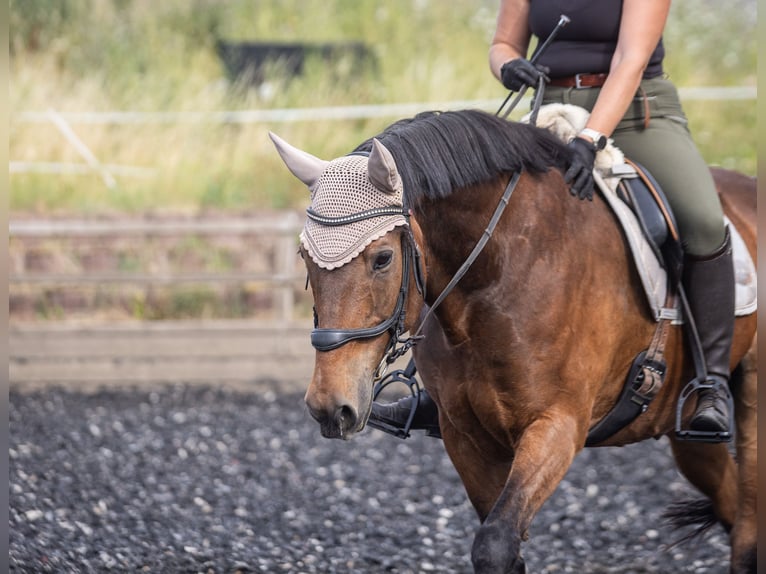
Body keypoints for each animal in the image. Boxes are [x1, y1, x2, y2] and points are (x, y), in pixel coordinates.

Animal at [269, 109, 757, 574]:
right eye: (303, 259)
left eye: (383, 258)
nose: (329, 407)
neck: (501, 274)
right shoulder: (465, 436)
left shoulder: (557, 426)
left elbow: (495, 543)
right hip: (683, 427)